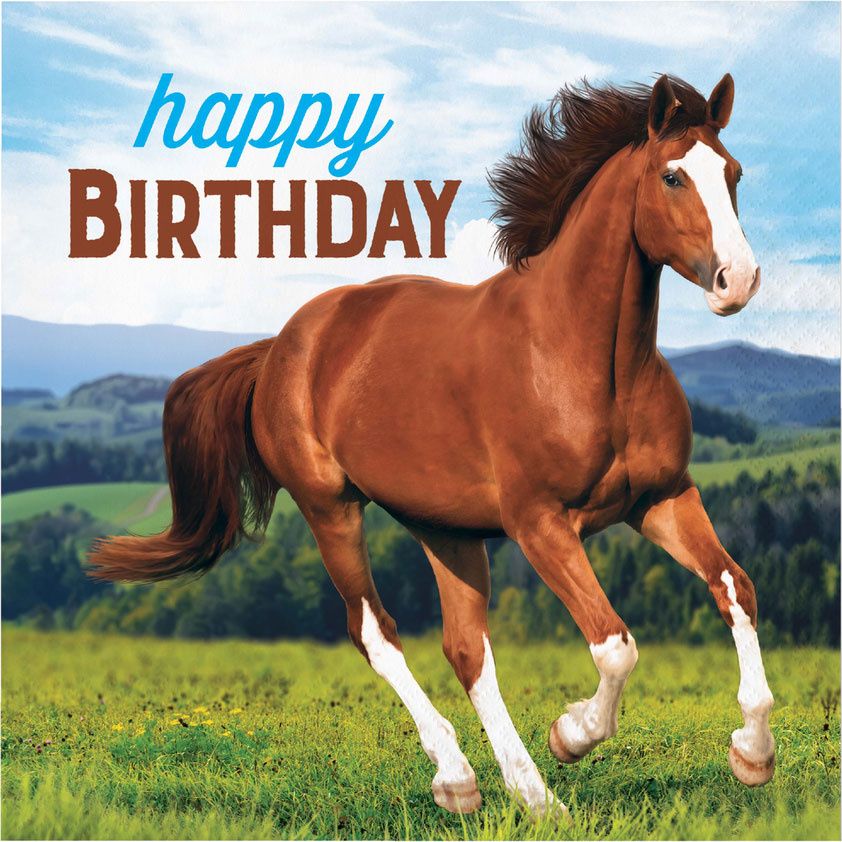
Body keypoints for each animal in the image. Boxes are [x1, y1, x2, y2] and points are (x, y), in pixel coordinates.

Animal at [88, 73, 773, 817]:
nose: (738, 280)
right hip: (330, 508)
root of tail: (279, 350)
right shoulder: (540, 523)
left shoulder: (662, 498)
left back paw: (529, 796)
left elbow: (736, 588)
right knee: (376, 633)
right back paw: (461, 778)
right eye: (673, 175)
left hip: (446, 528)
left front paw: (752, 754)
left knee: (466, 649)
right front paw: (570, 733)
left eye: (734, 172)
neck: (581, 357)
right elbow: (614, 644)